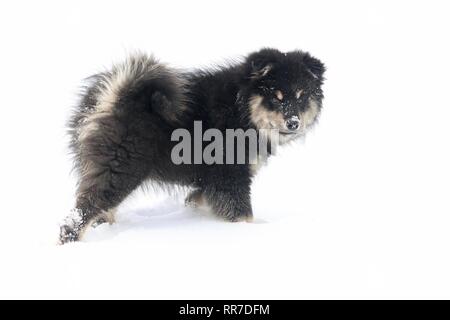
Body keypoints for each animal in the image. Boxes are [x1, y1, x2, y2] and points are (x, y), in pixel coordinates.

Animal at [60, 47, 326, 244]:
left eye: (302, 96)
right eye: (276, 97)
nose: (293, 122)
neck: (241, 107)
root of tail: (113, 96)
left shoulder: (210, 182)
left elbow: (198, 200)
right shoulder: (229, 176)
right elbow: (243, 213)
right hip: (120, 170)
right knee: (79, 216)